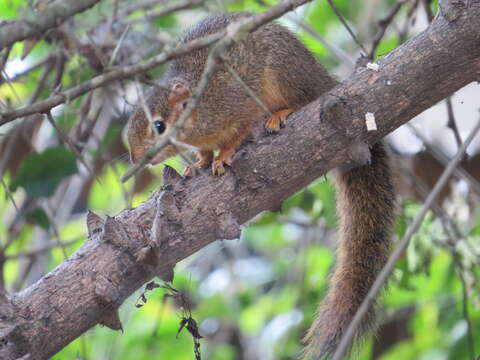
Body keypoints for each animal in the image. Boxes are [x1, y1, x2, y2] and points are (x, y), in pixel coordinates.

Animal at [127, 12, 394, 358]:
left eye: (159, 126)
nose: (134, 157)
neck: (200, 109)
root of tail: (321, 78)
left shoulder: (238, 104)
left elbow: (238, 133)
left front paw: (224, 156)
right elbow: (203, 152)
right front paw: (197, 163)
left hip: (284, 76)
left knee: (302, 99)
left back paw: (281, 114)